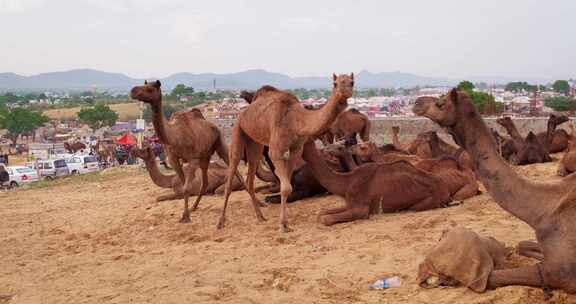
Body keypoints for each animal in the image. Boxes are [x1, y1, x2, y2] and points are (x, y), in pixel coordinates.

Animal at [130, 80, 248, 223]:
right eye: (145, 84)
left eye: (151, 89)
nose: (134, 91)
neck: (174, 136)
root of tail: (212, 125)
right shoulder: (173, 159)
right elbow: (184, 184)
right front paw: (186, 213)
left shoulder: (193, 158)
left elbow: (186, 188)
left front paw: (185, 217)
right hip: (205, 157)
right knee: (205, 182)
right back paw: (193, 207)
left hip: (219, 144)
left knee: (236, 171)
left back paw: (258, 204)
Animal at [220, 73, 356, 230]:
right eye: (335, 83)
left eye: (352, 82)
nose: (345, 91)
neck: (294, 119)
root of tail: (243, 113)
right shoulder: (276, 151)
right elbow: (285, 187)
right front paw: (282, 226)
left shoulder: (295, 150)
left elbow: (288, 188)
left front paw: (285, 223)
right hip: (238, 129)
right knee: (232, 171)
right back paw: (220, 223)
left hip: (255, 142)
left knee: (250, 176)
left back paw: (260, 217)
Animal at [300, 140, 452, 226]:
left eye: (339, 148)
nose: (324, 149)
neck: (347, 181)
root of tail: (446, 188)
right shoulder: (350, 203)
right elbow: (322, 213)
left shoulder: (361, 208)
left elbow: (325, 219)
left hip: (430, 200)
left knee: (413, 208)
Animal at [414, 88, 576, 294]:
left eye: (441, 103)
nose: (416, 103)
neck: (541, 209)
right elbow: (521, 245)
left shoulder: (564, 273)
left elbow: (490, 278)